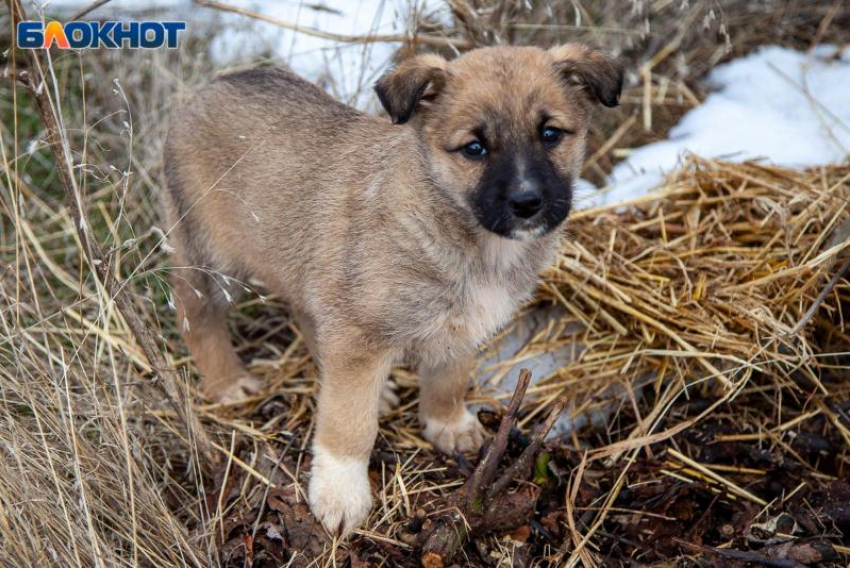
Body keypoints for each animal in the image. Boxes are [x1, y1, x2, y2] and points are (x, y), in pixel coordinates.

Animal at [162, 43, 624, 532]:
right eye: (474, 148)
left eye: (551, 133)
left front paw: (448, 425)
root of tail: (212, 86)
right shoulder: (358, 333)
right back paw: (228, 383)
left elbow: (448, 380)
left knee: (306, 314)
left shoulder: (460, 325)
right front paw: (340, 495)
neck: (461, 233)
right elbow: (348, 424)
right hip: (211, 258)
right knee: (196, 315)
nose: (527, 202)